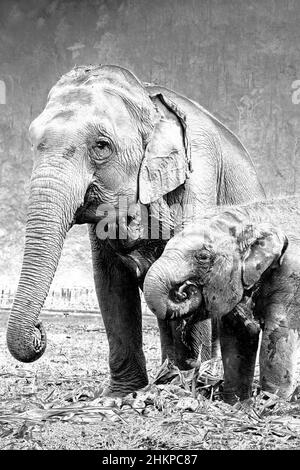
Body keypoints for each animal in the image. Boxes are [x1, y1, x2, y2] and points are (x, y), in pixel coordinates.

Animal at [6, 65, 264, 396]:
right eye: (33, 141)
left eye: (101, 146)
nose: (40, 329)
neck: (147, 100)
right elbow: (111, 282)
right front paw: (121, 394)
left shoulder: (199, 174)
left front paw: (188, 388)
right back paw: (170, 375)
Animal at [144, 204, 300, 402]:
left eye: (203, 256)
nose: (184, 289)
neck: (253, 217)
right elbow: (237, 337)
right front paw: (237, 403)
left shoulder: (291, 278)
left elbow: (278, 335)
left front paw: (271, 401)